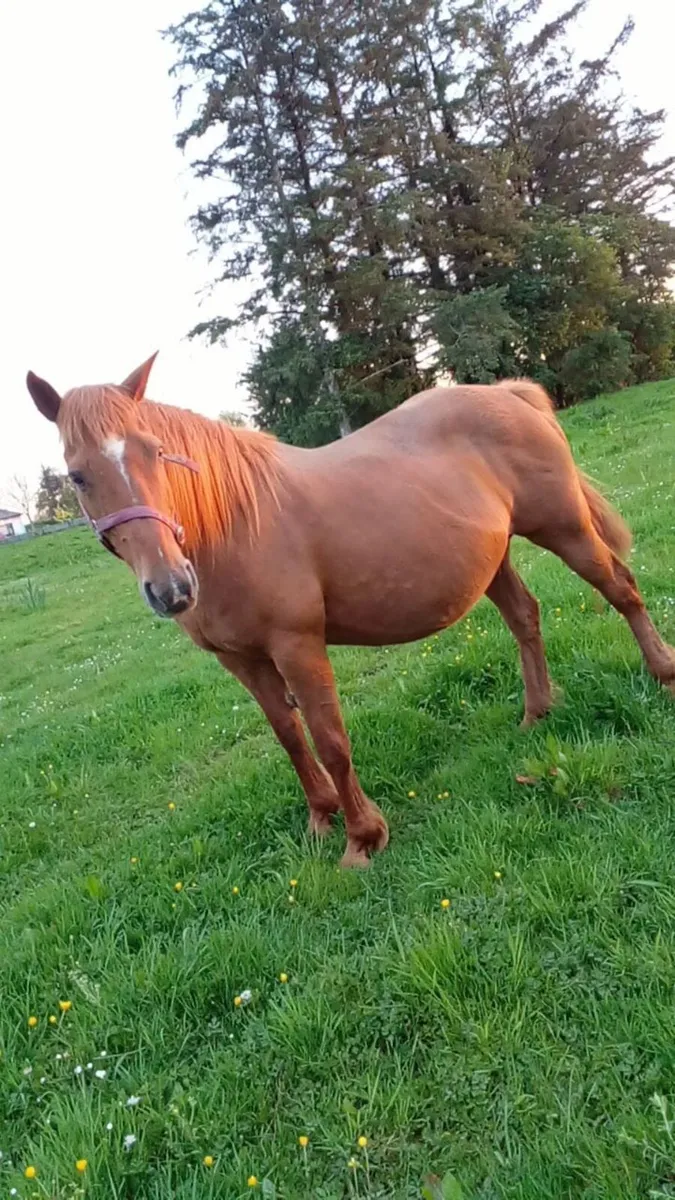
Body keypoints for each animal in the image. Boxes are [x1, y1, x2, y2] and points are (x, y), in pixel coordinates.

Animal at [26, 356, 675, 866]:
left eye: (156, 453)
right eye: (78, 476)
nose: (171, 589)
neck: (230, 526)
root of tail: (509, 394)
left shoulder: (297, 645)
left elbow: (330, 738)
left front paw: (363, 838)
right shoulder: (241, 661)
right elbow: (289, 737)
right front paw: (321, 819)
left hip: (564, 528)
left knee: (622, 589)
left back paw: (662, 675)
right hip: (492, 562)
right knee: (525, 617)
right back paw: (537, 712)